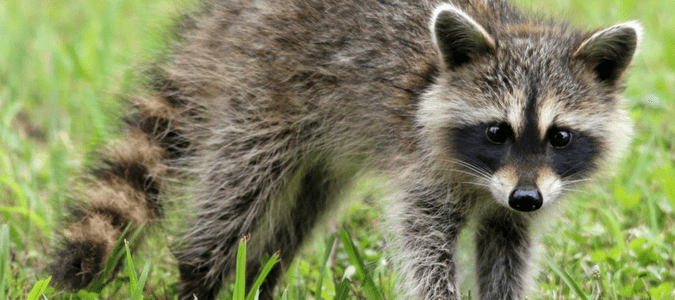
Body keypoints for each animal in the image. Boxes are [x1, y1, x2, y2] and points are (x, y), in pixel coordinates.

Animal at [50, 0, 640, 300]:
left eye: (559, 136)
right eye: (497, 131)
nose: (525, 198)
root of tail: (226, 15)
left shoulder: (519, 199)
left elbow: (508, 249)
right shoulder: (424, 169)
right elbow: (424, 244)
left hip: (320, 145)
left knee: (301, 211)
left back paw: (260, 276)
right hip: (261, 90)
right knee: (238, 191)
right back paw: (199, 275)